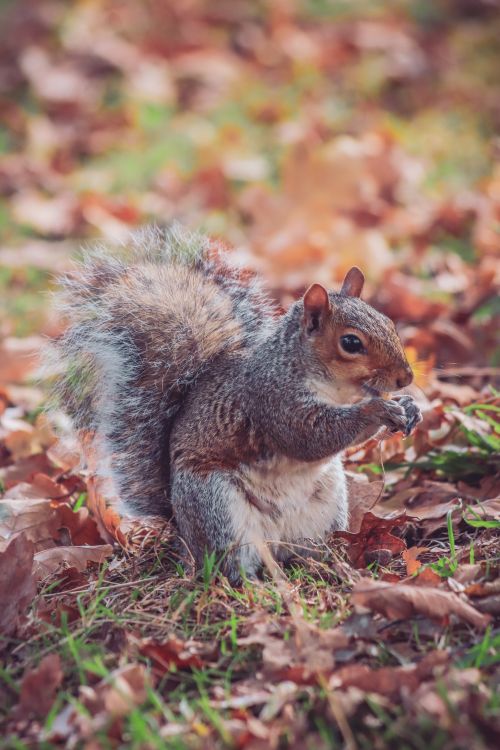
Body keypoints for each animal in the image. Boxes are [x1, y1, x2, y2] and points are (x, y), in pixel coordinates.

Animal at [47, 225, 422, 582]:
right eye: (351, 343)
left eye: (388, 322)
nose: (406, 378)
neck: (336, 389)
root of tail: (183, 533)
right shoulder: (271, 400)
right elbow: (308, 437)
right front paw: (377, 410)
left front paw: (409, 407)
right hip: (217, 507)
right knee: (228, 563)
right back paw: (253, 583)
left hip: (326, 508)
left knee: (305, 553)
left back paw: (336, 564)